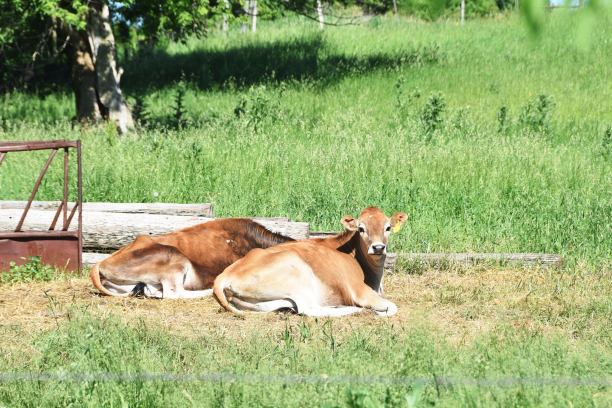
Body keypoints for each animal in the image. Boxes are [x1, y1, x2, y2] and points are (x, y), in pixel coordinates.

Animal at [213, 207, 408, 318]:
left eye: (388, 228)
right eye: (361, 228)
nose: (378, 247)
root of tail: (223, 276)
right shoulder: (359, 291)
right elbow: (392, 307)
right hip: (297, 272)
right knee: (308, 309)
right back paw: (351, 310)